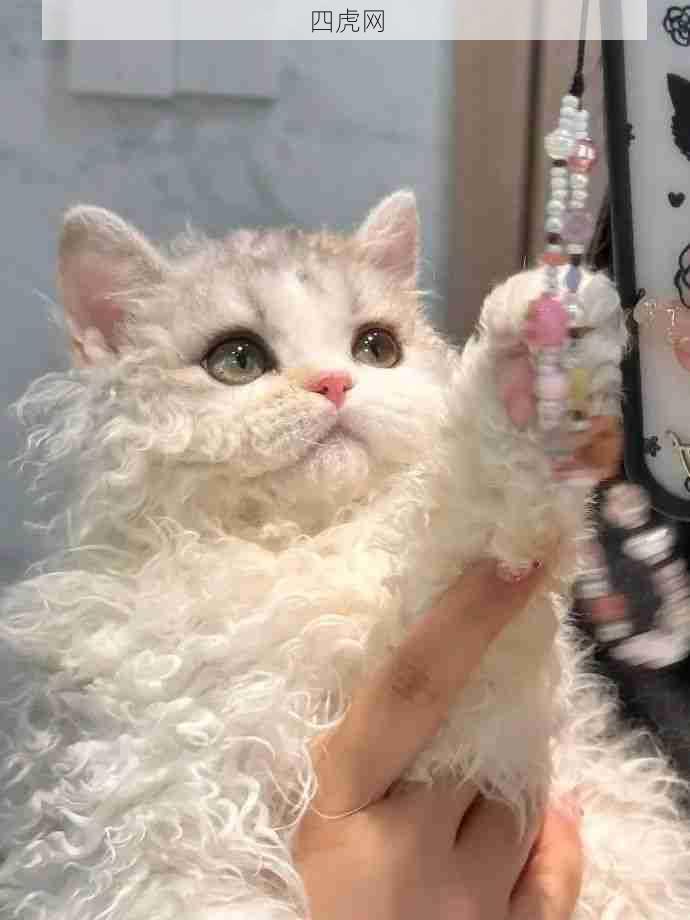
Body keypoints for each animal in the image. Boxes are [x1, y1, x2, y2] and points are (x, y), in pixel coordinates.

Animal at [1, 191, 689, 919]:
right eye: (237, 360)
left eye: (377, 348)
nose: (334, 383)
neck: (294, 546)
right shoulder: (146, 819)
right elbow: (194, 892)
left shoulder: (481, 717)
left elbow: (473, 502)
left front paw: (536, 368)